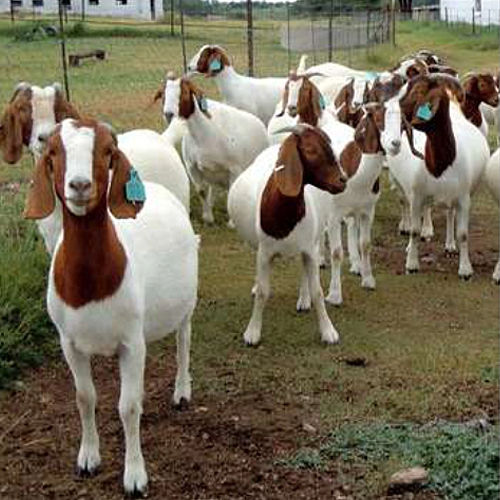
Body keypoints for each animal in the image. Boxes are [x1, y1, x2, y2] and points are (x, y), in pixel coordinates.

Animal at [23, 118, 198, 496]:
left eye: (106, 151)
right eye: (53, 151)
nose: (79, 185)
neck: (90, 286)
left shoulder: (130, 343)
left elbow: (128, 407)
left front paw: (134, 476)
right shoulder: (70, 343)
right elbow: (84, 397)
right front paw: (88, 458)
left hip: (187, 302)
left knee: (183, 340)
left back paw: (181, 391)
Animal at [162, 73, 268, 225]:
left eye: (185, 92)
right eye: (163, 94)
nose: (168, 114)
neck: (203, 133)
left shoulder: (234, 168)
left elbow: (232, 194)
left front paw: (232, 223)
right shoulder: (191, 166)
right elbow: (201, 191)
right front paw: (208, 218)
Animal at [229, 123, 346, 346]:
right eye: (311, 150)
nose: (342, 180)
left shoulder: (309, 249)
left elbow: (318, 291)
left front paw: (328, 331)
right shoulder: (264, 253)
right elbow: (263, 292)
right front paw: (252, 333)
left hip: (313, 242)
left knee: (304, 269)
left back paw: (304, 299)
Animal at [390, 74, 488, 278]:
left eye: (418, 92)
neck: (439, 164)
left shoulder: (464, 198)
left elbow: (463, 234)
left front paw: (465, 269)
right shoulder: (417, 195)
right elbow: (414, 230)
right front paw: (411, 264)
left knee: (450, 214)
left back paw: (450, 245)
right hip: (404, 186)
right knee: (408, 207)